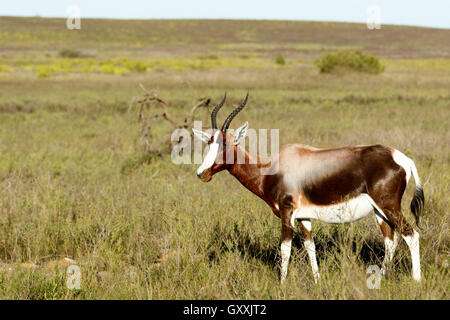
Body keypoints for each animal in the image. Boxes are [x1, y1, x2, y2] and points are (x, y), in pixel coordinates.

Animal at [193, 92, 426, 282]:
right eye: (209, 142)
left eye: (225, 143)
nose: (202, 173)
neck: (274, 167)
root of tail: (401, 158)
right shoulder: (303, 217)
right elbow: (310, 246)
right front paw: (317, 280)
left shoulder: (287, 213)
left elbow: (285, 248)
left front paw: (282, 284)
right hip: (379, 211)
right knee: (390, 240)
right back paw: (382, 277)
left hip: (389, 207)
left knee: (410, 235)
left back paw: (416, 281)